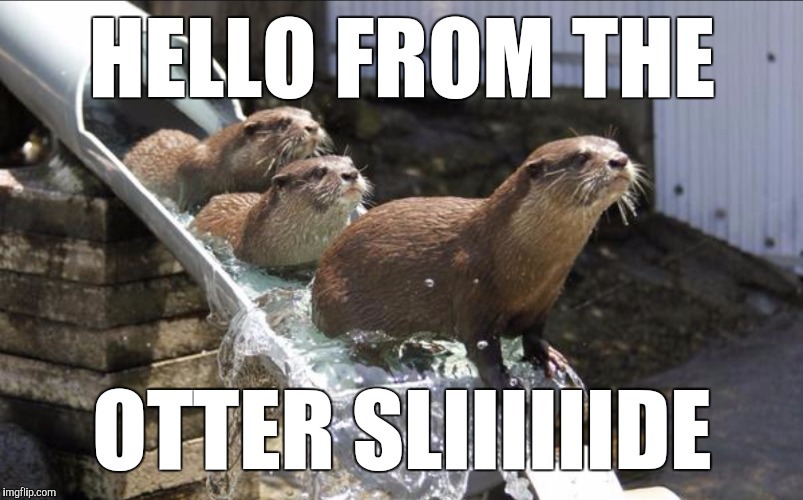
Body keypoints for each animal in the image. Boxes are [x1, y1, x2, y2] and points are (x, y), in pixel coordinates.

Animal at [311, 136, 643, 388]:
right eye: (581, 157)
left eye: (615, 146)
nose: (620, 160)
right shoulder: (474, 292)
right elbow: (483, 352)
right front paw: (506, 382)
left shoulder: (546, 299)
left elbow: (534, 334)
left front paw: (549, 357)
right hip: (340, 304)